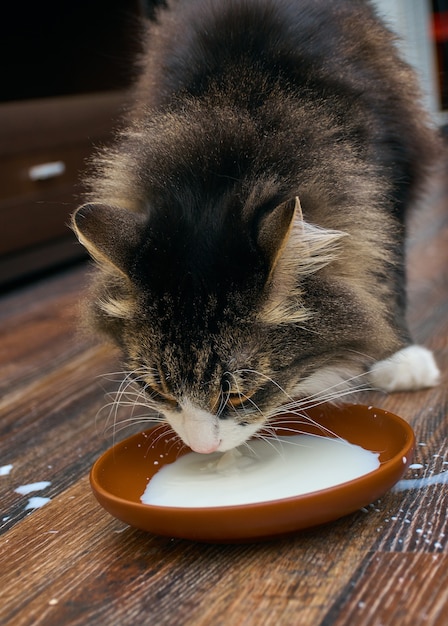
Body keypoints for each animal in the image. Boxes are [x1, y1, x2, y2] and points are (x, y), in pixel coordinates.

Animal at [72, 0, 440, 450]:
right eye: (159, 389)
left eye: (237, 394)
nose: (202, 448)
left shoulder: (389, 176)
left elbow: (384, 272)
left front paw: (399, 357)